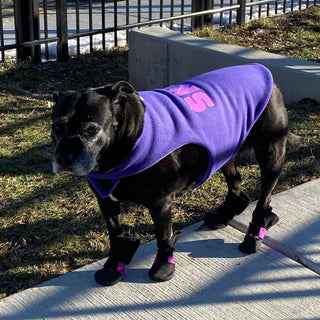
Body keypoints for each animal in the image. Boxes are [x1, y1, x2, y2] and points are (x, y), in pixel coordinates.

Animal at [52, 63, 300, 286]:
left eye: (91, 129)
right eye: (56, 127)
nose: (64, 158)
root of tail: (264, 71)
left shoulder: (160, 202)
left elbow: (164, 236)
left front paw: (163, 265)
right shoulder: (106, 201)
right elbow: (116, 235)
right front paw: (113, 265)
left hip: (271, 154)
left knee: (264, 198)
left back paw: (254, 233)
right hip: (224, 151)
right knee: (236, 184)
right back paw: (224, 214)